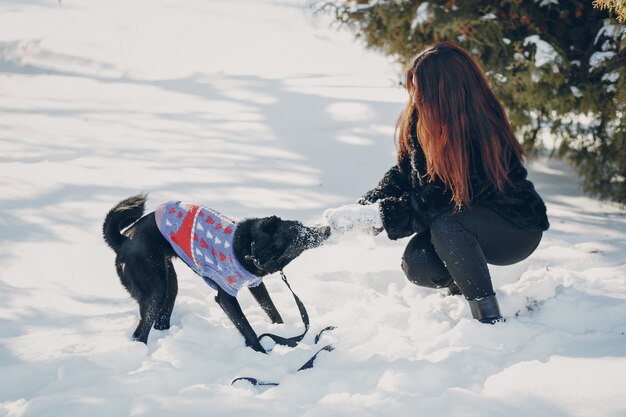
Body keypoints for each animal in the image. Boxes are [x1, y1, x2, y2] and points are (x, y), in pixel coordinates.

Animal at [103, 195, 330, 352]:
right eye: (300, 234)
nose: (327, 229)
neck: (251, 248)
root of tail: (124, 239)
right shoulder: (226, 296)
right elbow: (247, 328)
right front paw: (261, 352)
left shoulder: (256, 284)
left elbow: (272, 310)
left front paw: (283, 333)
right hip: (155, 286)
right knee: (141, 331)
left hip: (169, 281)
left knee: (160, 316)